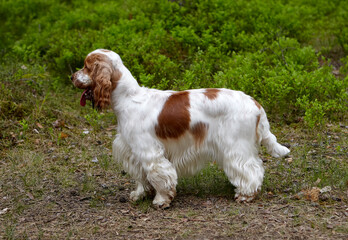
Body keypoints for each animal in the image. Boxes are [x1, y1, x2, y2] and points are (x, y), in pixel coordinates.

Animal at [72, 48, 290, 208]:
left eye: (86, 67)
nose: (71, 76)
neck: (128, 98)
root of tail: (255, 103)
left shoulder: (149, 152)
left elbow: (160, 176)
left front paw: (161, 200)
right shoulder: (133, 151)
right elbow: (142, 177)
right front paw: (139, 194)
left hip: (236, 147)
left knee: (252, 169)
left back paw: (246, 195)